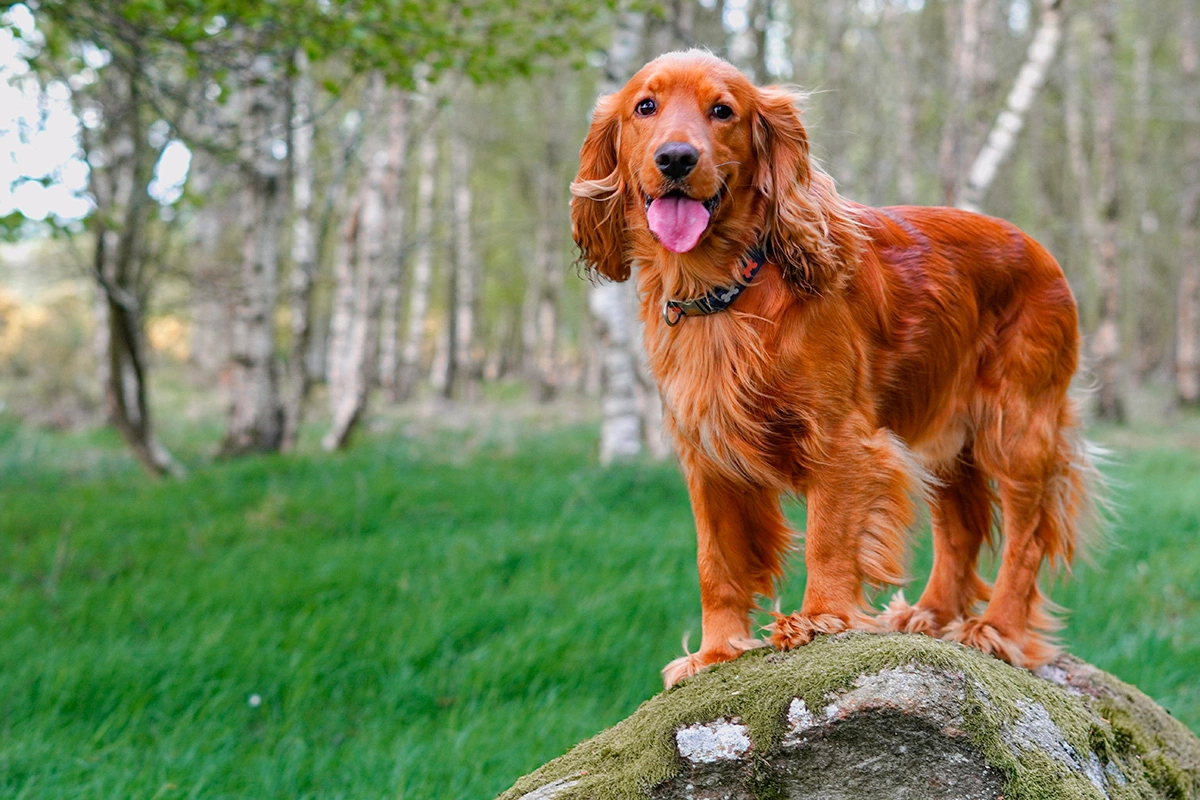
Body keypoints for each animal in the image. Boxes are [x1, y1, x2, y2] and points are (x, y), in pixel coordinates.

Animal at [566, 50, 1099, 690]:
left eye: (722, 111)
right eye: (645, 106)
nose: (675, 158)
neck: (726, 291)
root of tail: (1041, 251)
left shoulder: (842, 438)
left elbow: (828, 534)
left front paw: (820, 619)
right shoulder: (706, 454)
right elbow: (715, 561)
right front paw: (716, 653)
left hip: (1016, 429)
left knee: (1026, 537)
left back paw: (997, 629)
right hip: (943, 437)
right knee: (961, 528)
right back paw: (930, 614)